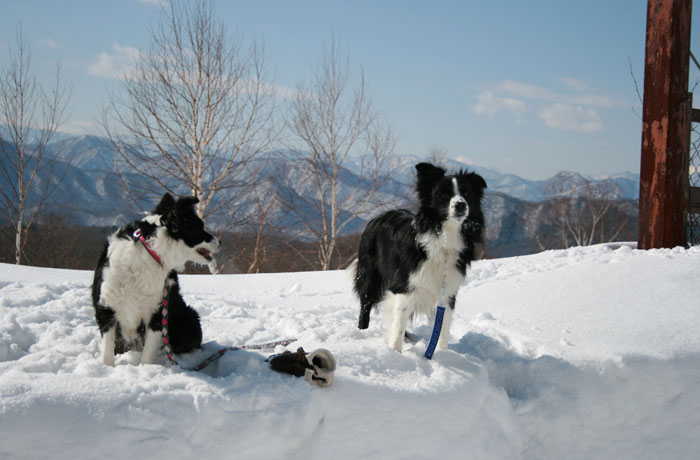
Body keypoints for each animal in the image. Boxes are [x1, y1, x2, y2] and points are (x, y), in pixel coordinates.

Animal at [91, 192, 220, 364]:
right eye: (199, 227)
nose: (220, 242)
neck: (150, 252)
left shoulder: (157, 311)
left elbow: (147, 353)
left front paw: (147, 369)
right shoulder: (106, 307)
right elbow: (107, 349)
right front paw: (107, 367)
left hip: (189, 316)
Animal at [356, 163, 486, 352]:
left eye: (467, 194)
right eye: (444, 194)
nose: (461, 205)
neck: (445, 240)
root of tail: (379, 216)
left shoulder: (448, 291)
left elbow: (442, 327)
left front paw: (443, 353)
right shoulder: (404, 285)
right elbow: (398, 325)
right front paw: (395, 352)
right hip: (369, 273)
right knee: (365, 304)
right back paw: (362, 331)